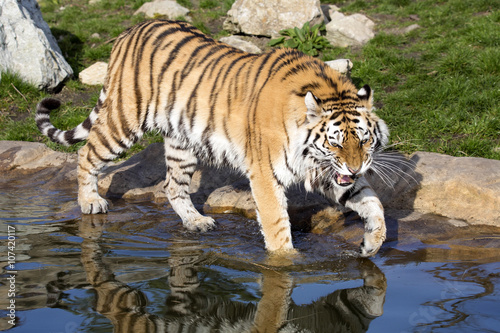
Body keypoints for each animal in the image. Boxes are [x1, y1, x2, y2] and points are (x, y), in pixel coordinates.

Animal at [38, 18, 390, 256]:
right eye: (335, 141)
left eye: (364, 140)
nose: (356, 167)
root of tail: (131, 29)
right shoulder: (266, 174)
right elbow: (277, 224)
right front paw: (286, 263)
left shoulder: (328, 172)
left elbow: (372, 202)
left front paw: (372, 243)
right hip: (124, 120)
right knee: (87, 153)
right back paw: (90, 202)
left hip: (181, 143)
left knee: (172, 185)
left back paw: (196, 222)